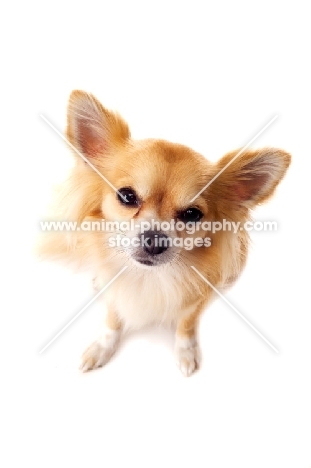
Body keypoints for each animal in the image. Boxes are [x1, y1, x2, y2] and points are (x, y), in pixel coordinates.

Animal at [39, 90, 292, 376]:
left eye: (192, 214)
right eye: (126, 196)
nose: (154, 240)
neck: (147, 277)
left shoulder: (196, 302)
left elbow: (186, 326)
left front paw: (186, 352)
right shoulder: (115, 294)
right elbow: (112, 321)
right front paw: (101, 347)